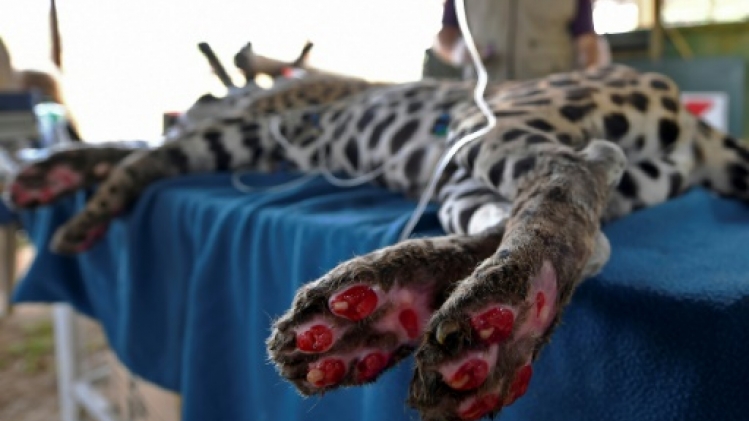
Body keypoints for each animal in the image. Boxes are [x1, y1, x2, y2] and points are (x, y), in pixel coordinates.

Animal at [5, 64, 749, 421]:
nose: (186, 108)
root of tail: (695, 124)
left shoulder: (237, 131)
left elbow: (141, 156)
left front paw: (80, 214)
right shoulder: (240, 142)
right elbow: (126, 146)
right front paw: (53, 172)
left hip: (496, 120)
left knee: (568, 176)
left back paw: (506, 318)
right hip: (471, 178)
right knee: (567, 230)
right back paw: (383, 312)